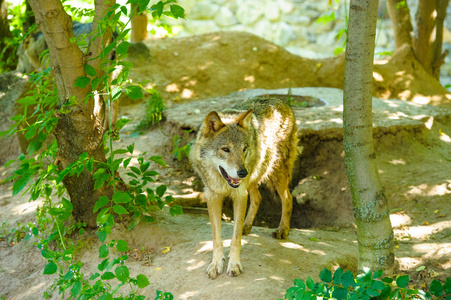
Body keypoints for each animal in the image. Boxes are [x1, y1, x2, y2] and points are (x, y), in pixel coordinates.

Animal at [190, 96, 300, 278]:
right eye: (225, 149)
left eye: (244, 149)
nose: (242, 172)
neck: (222, 182)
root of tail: (280, 100)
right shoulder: (213, 196)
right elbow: (216, 238)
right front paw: (216, 264)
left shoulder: (239, 195)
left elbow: (235, 239)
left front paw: (234, 265)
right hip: (254, 177)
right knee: (258, 198)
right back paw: (246, 226)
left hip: (275, 173)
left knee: (288, 198)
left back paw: (282, 230)